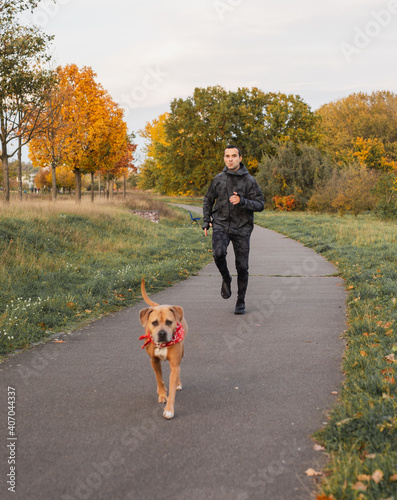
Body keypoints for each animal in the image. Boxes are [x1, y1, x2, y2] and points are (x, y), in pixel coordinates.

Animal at [138, 280, 187, 420]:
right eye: (154, 322)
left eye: (169, 322)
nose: (162, 333)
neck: (163, 345)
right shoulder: (154, 361)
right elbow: (159, 379)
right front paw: (162, 394)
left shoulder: (174, 365)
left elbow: (172, 386)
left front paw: (169, 410)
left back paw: (178, 383)